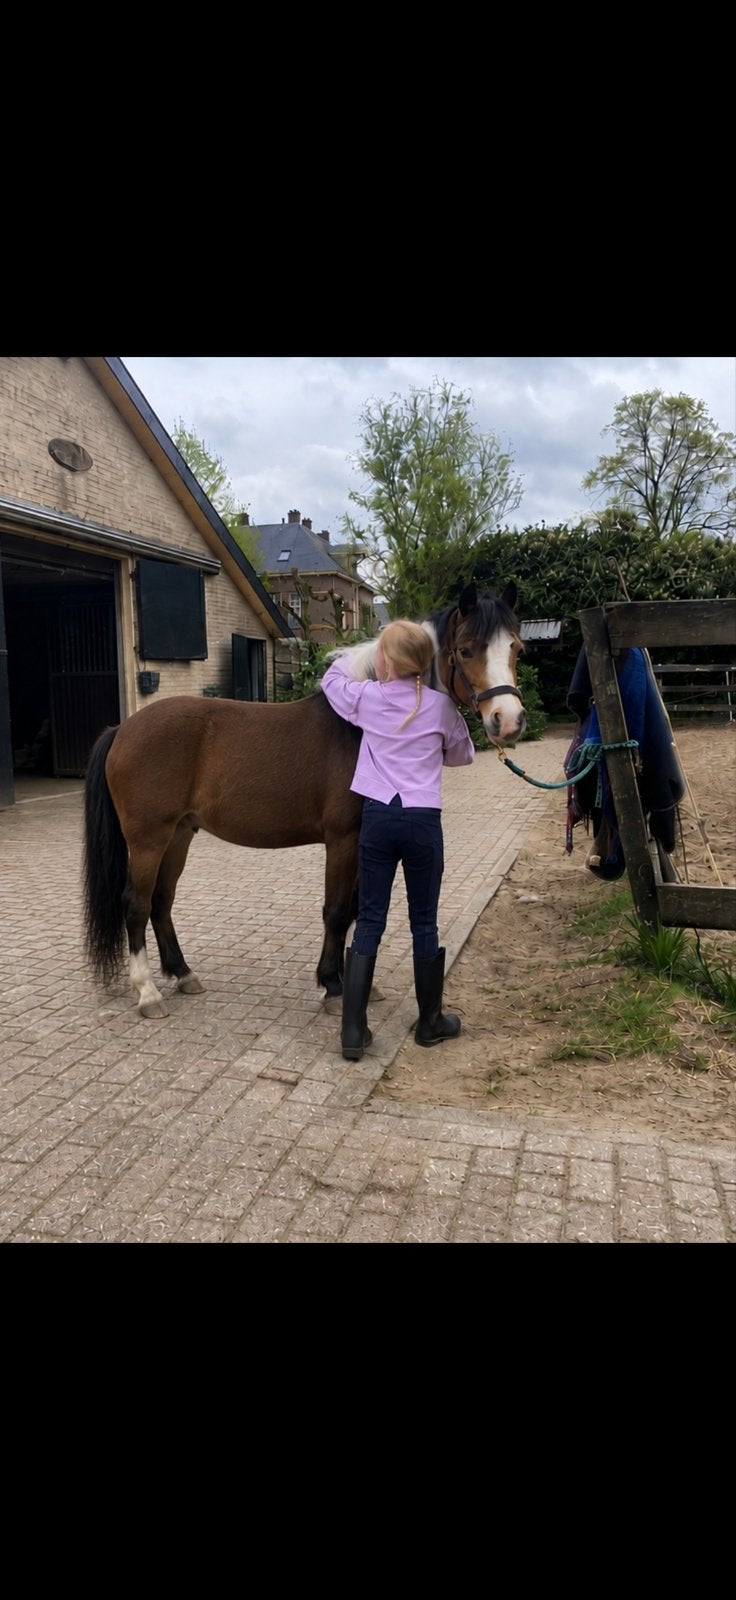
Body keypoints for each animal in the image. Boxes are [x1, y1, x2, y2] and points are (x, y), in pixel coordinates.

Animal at [82, 581, 525, 1018]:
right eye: (466, 650)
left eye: (516, 648)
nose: (508, 720)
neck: (358, 727)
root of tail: (122, 729)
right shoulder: (343, 840)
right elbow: (336, 911)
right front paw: (333, 986)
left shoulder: (364, 841)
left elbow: (353, 911)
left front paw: (358, 984)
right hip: (148, 839)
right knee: (136, 904)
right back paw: (147, 992)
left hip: (179, 834)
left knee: (161, 900)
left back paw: (183, 973)